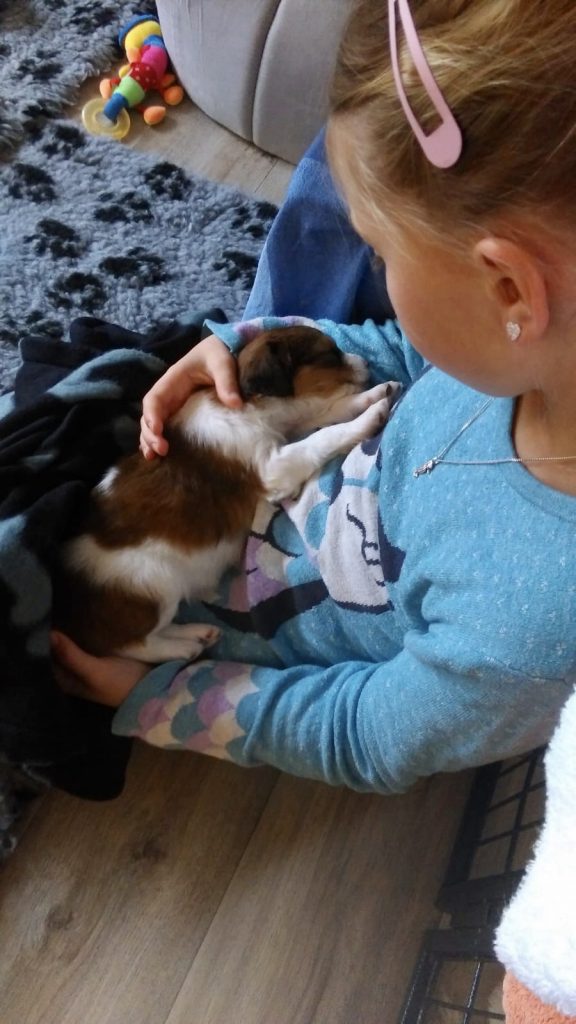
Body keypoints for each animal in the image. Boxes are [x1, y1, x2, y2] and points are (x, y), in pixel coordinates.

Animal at [53, 326, 395, 663]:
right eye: (330, 355)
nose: (366, 362)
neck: (251, 403)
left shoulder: (292, 424)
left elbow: (330, 412)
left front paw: (378, 393)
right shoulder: (273, 466)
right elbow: (323, 436)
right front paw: (372, 414)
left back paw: (197, 632)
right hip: (151, 585)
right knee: (133, 644)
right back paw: (184, 646)